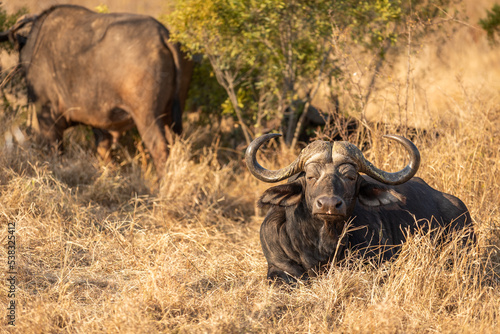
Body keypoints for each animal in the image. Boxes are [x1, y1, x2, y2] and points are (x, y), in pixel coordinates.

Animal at [0, 4, 193, 175]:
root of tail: (163, 36)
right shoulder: (100, 125)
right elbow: (104, 153)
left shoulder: (48, 118)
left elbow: (55, 151)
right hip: (171, 117)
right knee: (177, 146)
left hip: (148, 118)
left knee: (160, 150)